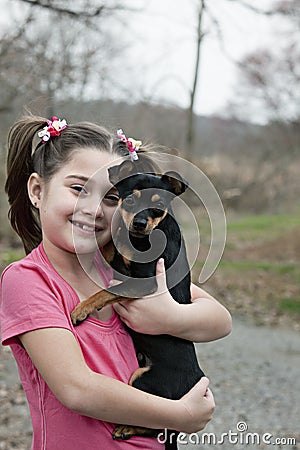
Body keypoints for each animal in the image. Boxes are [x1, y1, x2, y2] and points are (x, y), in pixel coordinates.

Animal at [71, 160, 205, 448]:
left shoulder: (144, 283)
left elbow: (105, 290)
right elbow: (112, 246)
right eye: (129, 200)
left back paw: (125, 428)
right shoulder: (121, 259)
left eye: (158, 205)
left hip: (144, 381)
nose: (140, 223)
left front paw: (82, 308)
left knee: (157, 424)